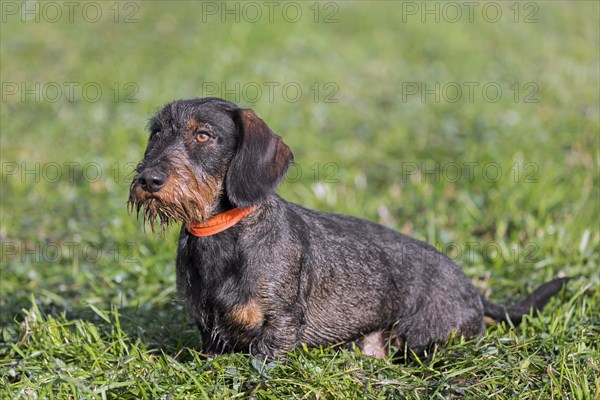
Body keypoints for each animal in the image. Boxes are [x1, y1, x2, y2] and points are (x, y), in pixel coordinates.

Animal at [129, 97, 568, 360]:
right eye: (157, 133)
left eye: (203, 135)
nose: (148, 179)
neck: (223, 236)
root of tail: (474, 292)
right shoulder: (209, 331)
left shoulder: (279, 325)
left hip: (421, 340)